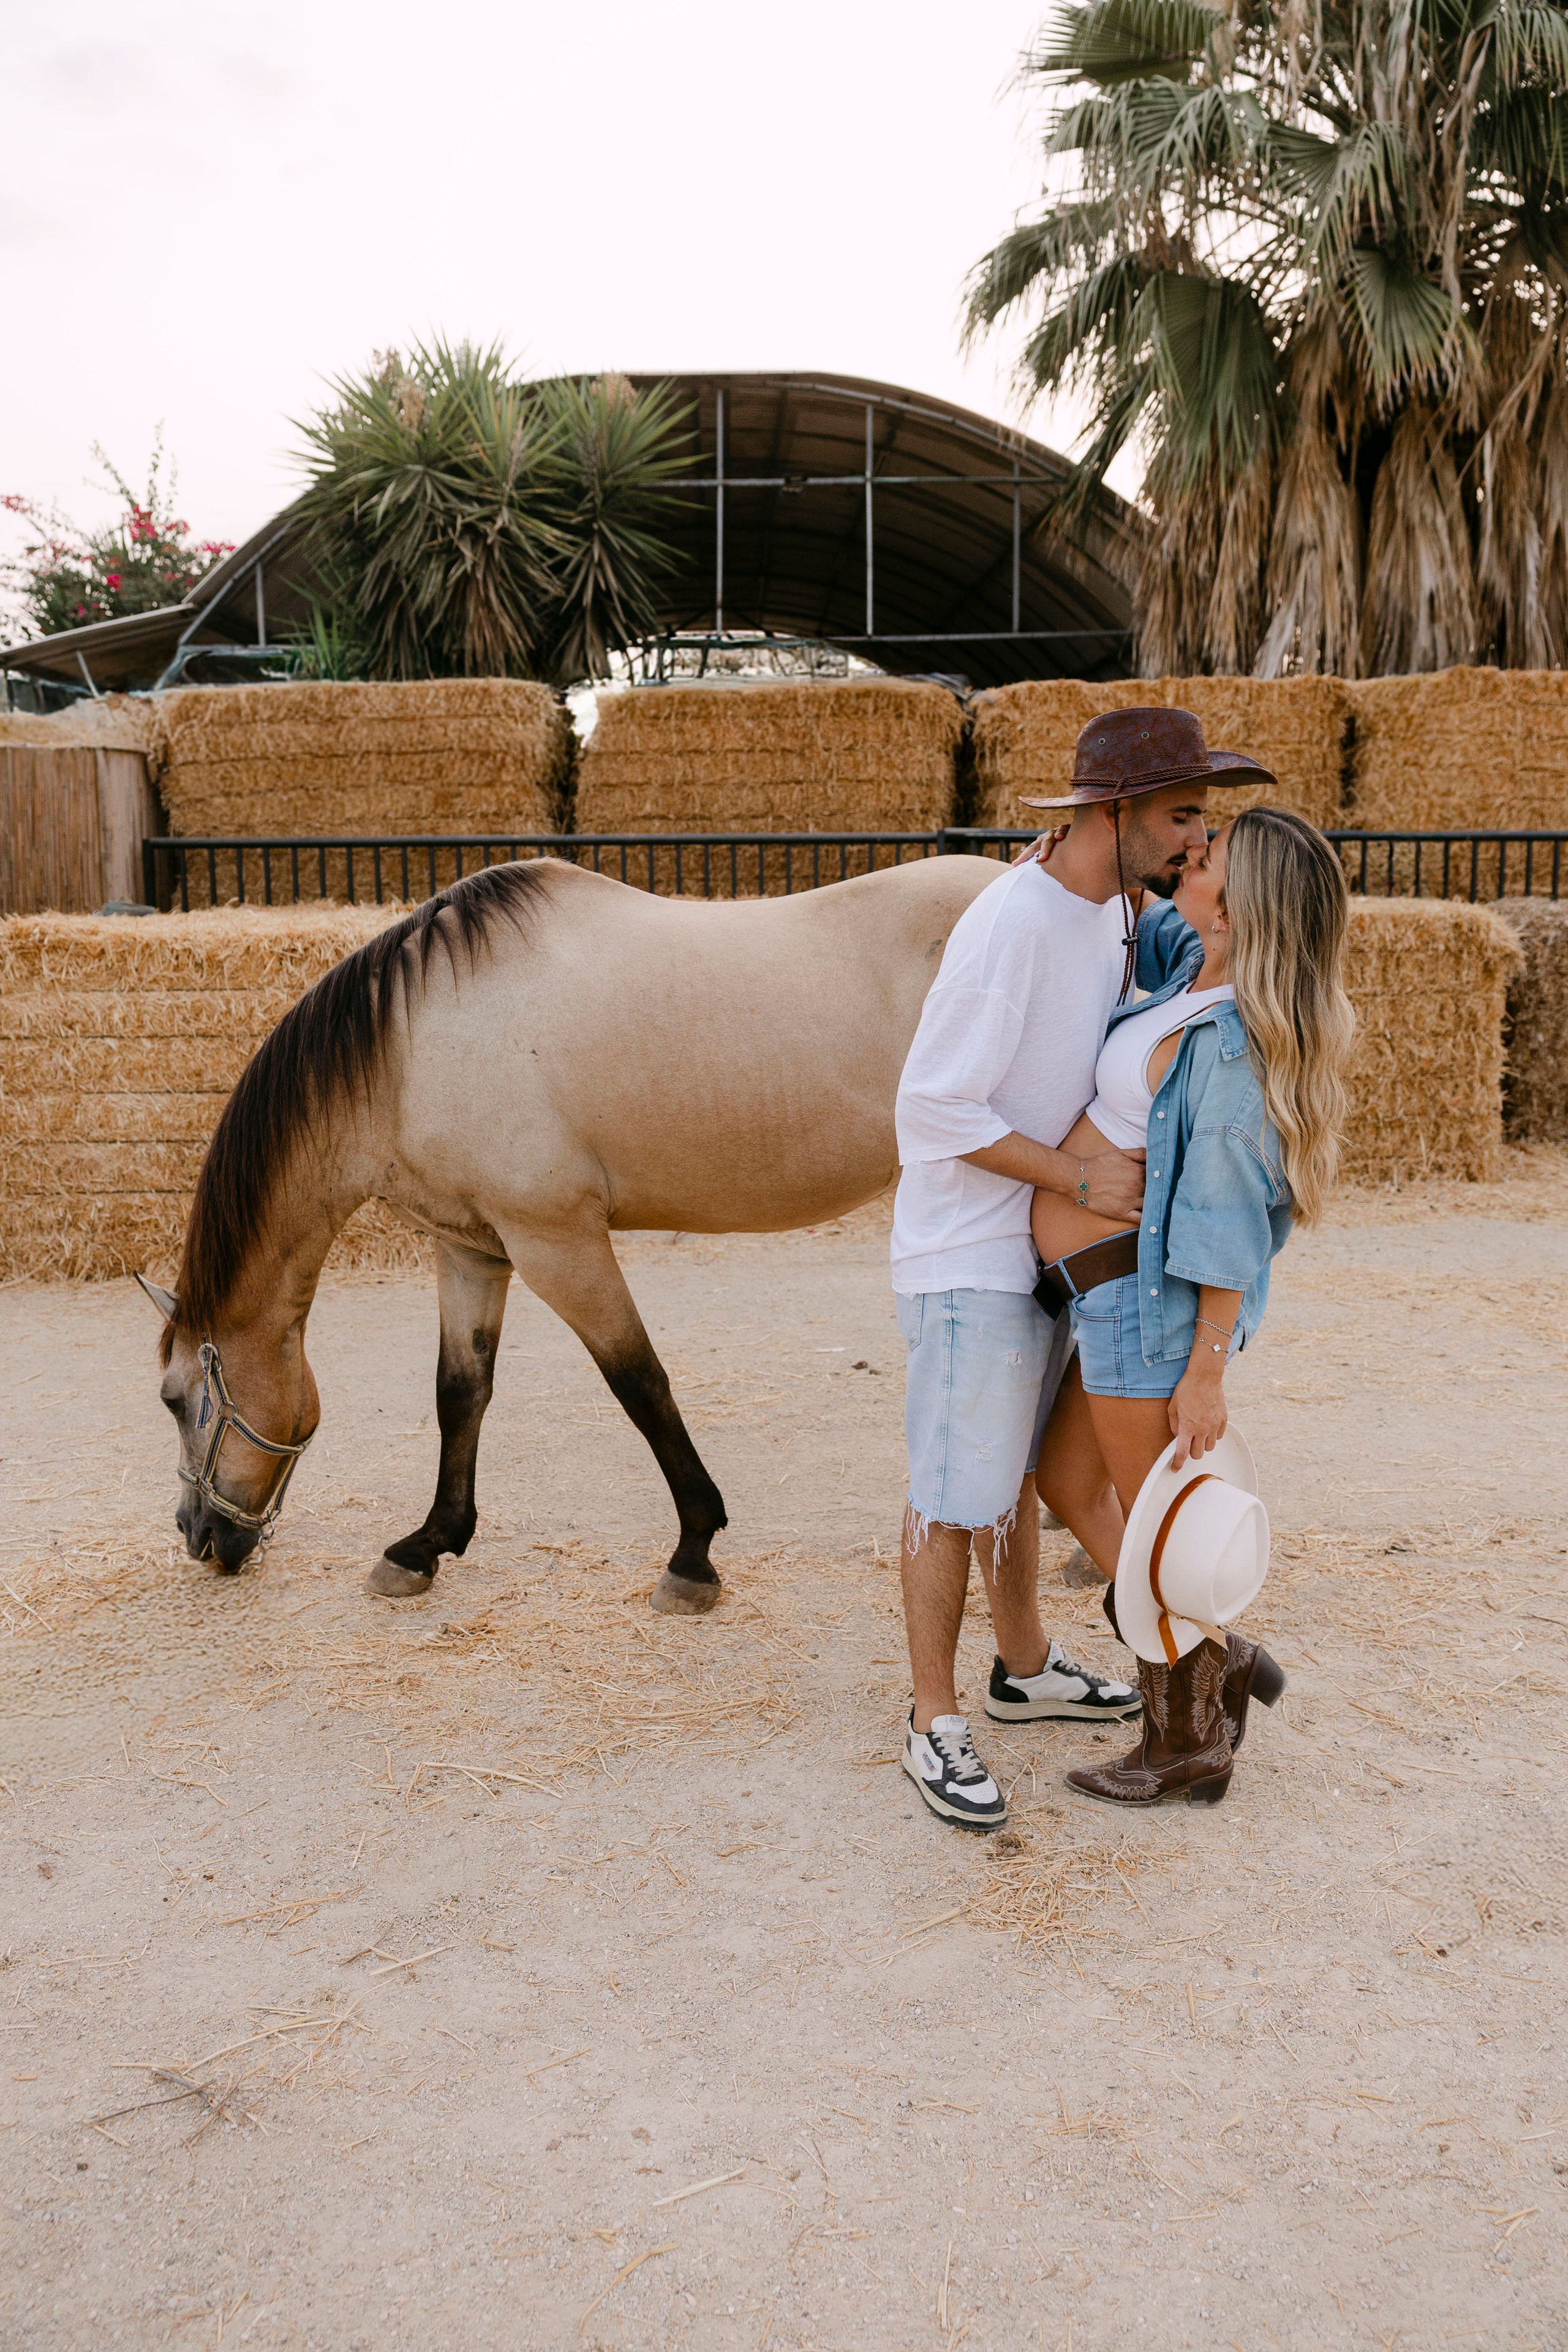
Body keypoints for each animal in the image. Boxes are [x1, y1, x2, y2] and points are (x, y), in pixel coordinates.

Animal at [140, 853, 1001, 1613]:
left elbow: (639, 1383)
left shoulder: (555, 1241)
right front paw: (426, 1545)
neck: (416, 1047)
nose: (197, 1533)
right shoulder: (473, 1249)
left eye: (177, 1401)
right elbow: (461, 1391)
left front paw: (693, 1556)